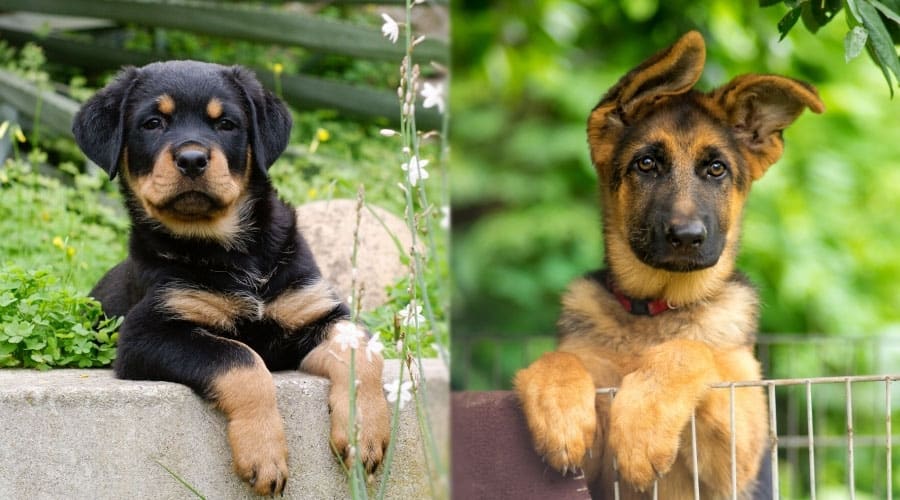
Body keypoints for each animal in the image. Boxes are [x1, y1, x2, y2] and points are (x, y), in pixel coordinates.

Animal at [72, 61, 388, 496]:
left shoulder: (315, 310)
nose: (192, 159)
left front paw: (364, 431)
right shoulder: (146, 335)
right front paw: (264, 454)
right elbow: (240, 358)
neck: (230, 251)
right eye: (153, 123)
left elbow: (362, 348)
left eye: (226, 124)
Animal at [512, 32, 824, 500]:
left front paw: (641, 429)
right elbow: (559, 359)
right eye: (646, 164)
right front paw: (559, 409)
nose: (686, 237)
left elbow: (690, 350)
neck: (657, 309)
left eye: (716, 169)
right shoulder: (594, 468)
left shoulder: (739, 454)